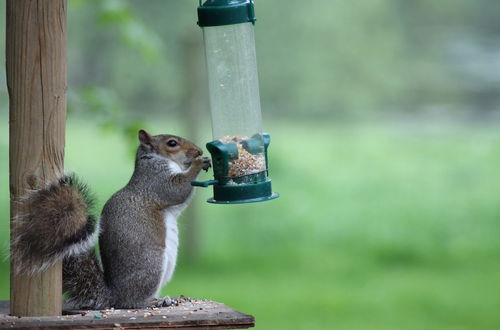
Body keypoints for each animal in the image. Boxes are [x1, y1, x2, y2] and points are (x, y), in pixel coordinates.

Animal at [11, 129, 211, 310]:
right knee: (130, 303)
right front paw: (198, 163)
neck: (156, 159)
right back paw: (154, 302)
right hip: (151, 265)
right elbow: (177, 190)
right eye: (172, 143)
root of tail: (113, 295)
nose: (199, 151)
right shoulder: (155, 181)